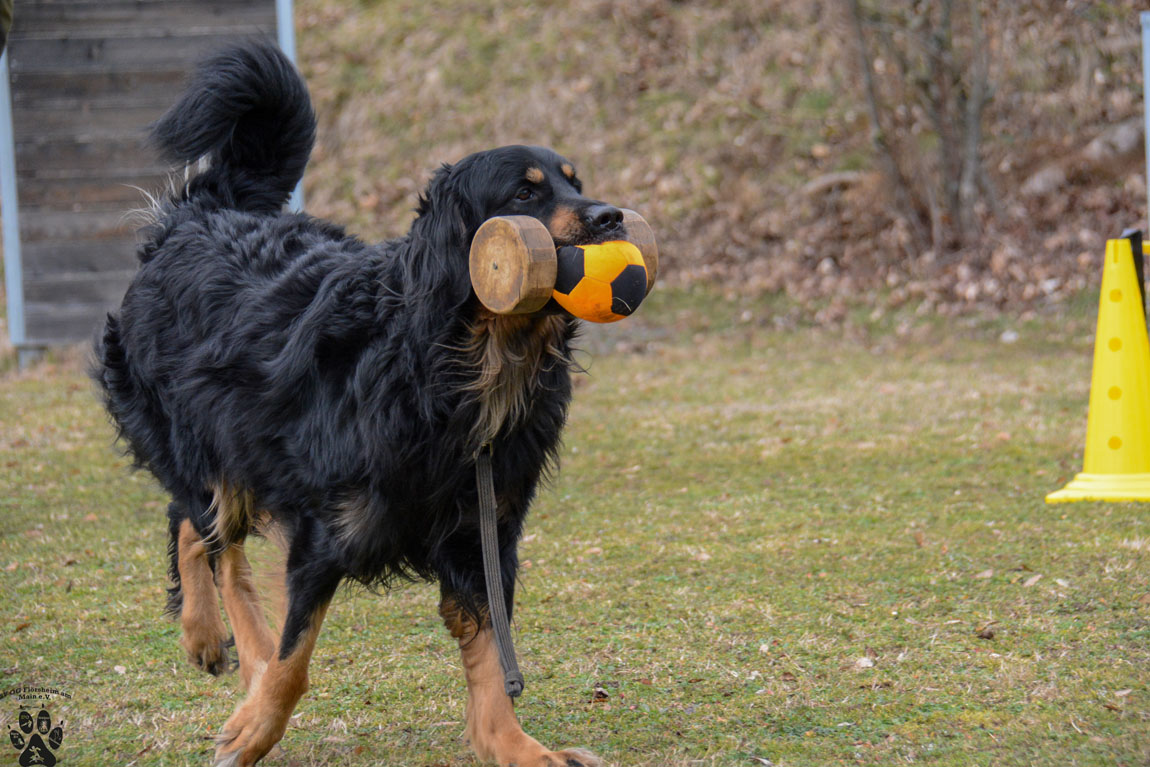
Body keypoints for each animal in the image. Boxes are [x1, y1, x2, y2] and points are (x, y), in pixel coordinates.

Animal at [93, 41, 625, 767]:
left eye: (576, 182)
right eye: (525, 192)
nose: (612, 216)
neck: (453, 362)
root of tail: (205, 213)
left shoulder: (482, 530)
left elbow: (492, 658)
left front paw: (515, 746)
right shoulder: (328, 530)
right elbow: (294, 660)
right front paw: (253, 729)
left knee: (190, 522)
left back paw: (207, 638)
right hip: (207, 430)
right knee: (218, 544)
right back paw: (234, 650)